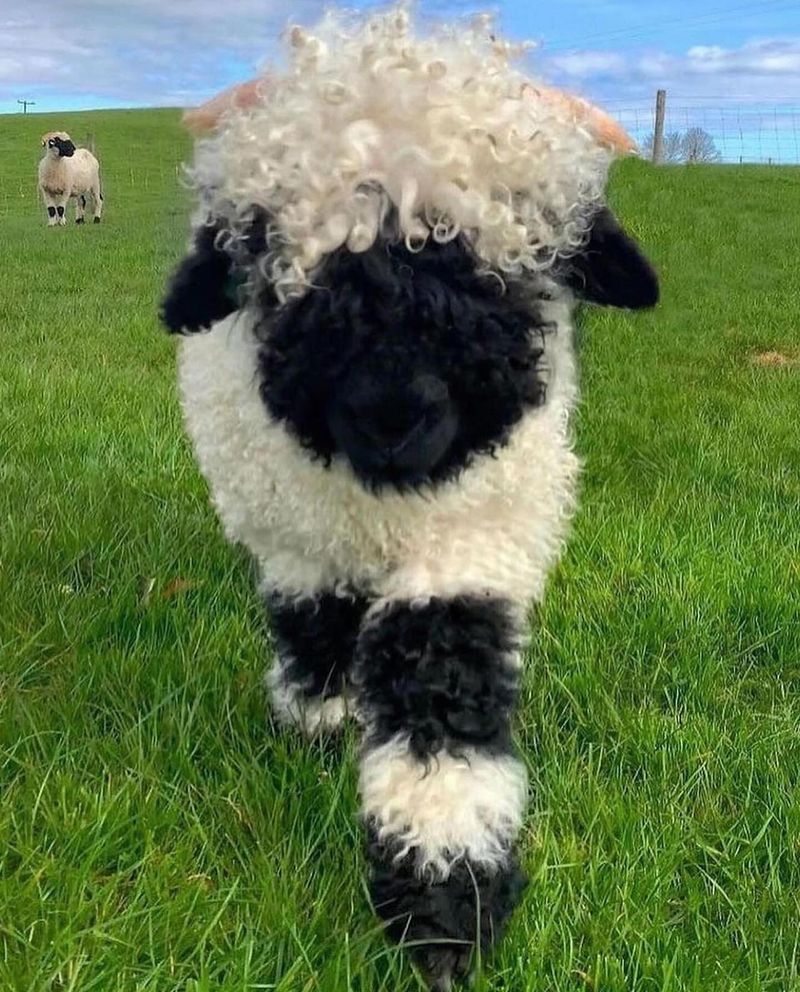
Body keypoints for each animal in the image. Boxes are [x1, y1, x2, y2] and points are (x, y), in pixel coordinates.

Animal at [159, 9, 660, 992]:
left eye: (497, 266)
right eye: (279, 266)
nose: (390, 414)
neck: (385, 500)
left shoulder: (473, 538)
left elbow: (439, 691)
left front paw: (443, 907)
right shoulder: (300, 539)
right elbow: (312, 625)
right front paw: (321, 722)